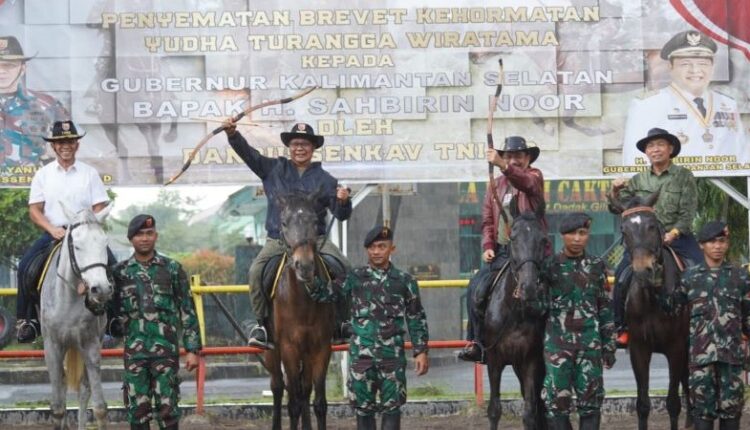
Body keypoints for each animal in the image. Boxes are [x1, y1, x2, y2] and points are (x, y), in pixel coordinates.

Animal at [40, 205, 113, 430]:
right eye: (77, 246)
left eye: (104, 243)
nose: (101, 289)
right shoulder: (52, 346)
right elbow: (57, 408)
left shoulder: (91, 345)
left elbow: (99, 407)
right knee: (63, 386)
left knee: (83, 391)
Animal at [264, 194, 334, 430]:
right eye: (284, 223)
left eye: (315, 221)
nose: (304, 266)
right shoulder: (289, 348)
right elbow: (292, 403)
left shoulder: (321, 347)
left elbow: (319, 402)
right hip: (271, 350)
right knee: (277, 386)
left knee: (305, 389)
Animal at [484, 210, 548, 430]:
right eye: (513, 238)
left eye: (543, 239)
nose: (528, 288)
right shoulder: (494, 360)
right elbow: (494, 409)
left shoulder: (530, 361)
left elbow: (529, 412)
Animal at [612, 194, 692, 430]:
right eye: (624, 231)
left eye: (652, 226)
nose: (644, 271)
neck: (653, 299)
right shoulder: (639, 349)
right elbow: (643, 404)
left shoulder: (676, 348)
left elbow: (673, 402)